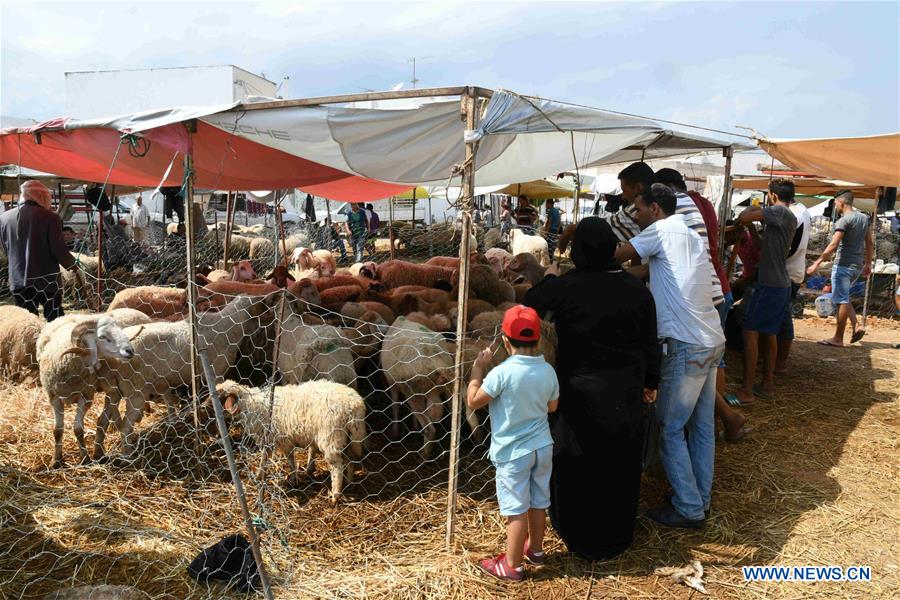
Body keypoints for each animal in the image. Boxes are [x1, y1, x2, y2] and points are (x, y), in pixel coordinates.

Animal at [37, 314, 137, 468]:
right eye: (102, 337)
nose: (130, 351)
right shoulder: (53, 397)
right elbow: (57, 430)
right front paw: (56, 461)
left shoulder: (85, 396)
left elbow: (78, 429)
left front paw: (85, 458)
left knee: (105, 416)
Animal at [215, 380, 366, 502]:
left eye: (220, 394)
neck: (250, 405)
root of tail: (355, 406)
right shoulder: (269, 439)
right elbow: (265, 457)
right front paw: (259, 475)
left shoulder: (283, 439)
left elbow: (290, 460)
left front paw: (294, 478)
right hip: (349, 437)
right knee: (350, 458)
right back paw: (349, 482)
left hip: (331, 437)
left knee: (337, 466)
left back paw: (335, 495)